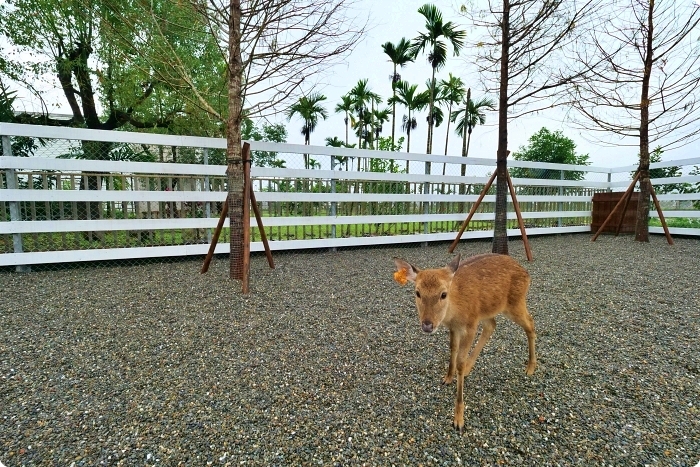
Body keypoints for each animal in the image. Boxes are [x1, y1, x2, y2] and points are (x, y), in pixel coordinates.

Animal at [392, 253, 536, 433]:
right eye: (417, 293)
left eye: (443, 294)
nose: (427, 325)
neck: (453, 313)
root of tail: (527, 273)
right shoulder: (454, 327)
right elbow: (452, 348)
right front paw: (447, 377)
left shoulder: (470, 325)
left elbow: (460, 361)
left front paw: (458, 419)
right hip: (489, 309)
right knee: (492, 325)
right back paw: (470, 367)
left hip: (515, 303)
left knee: (530, 323)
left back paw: (530, 368)